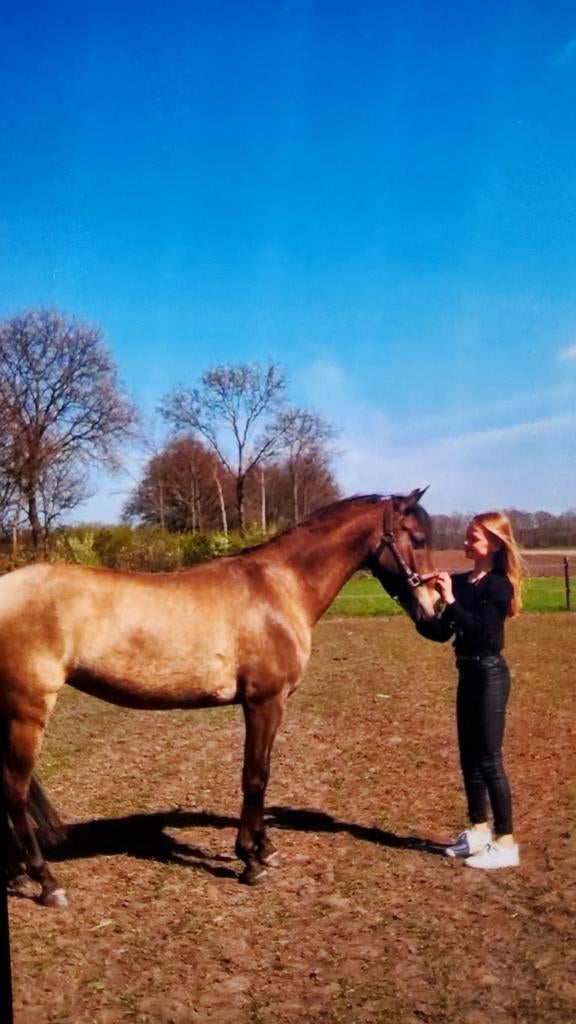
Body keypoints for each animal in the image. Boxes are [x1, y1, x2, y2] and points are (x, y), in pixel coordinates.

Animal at [0, 488, 440, 907]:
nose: (434, 611)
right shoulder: (264, 702)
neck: (278, 588)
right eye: (417, 538)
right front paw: (250, 860)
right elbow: (255, 777)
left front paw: (266, 850)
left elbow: (263, 773)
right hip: (27, 711)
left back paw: (18, 874)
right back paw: (47, 883)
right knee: (14, 790)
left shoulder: (267, 705)